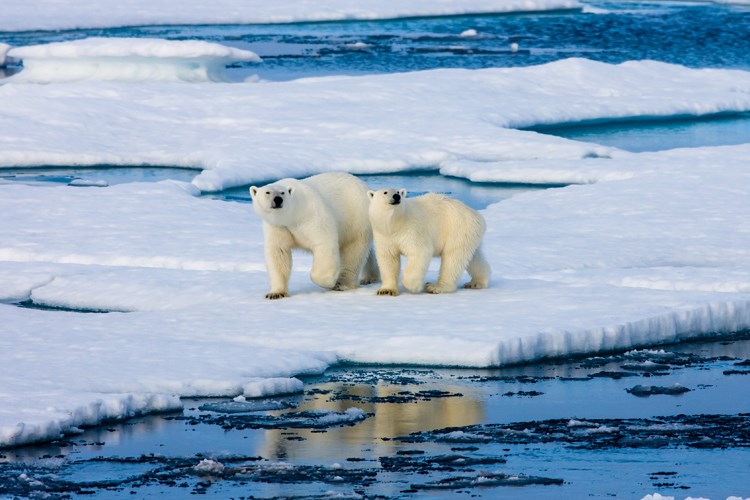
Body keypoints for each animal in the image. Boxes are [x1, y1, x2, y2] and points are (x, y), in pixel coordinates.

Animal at [253, 172, 382, 298]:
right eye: (267, 192)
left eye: (282, 192)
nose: (278, 200)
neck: (293, 215)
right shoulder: (278, 226)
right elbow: (278, 252)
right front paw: (275, 293)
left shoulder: (311, 214)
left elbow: (324, 243)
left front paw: (330, 282)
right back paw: (370, 277)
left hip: (355, 217)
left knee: (353, 250)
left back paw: (342, 284)